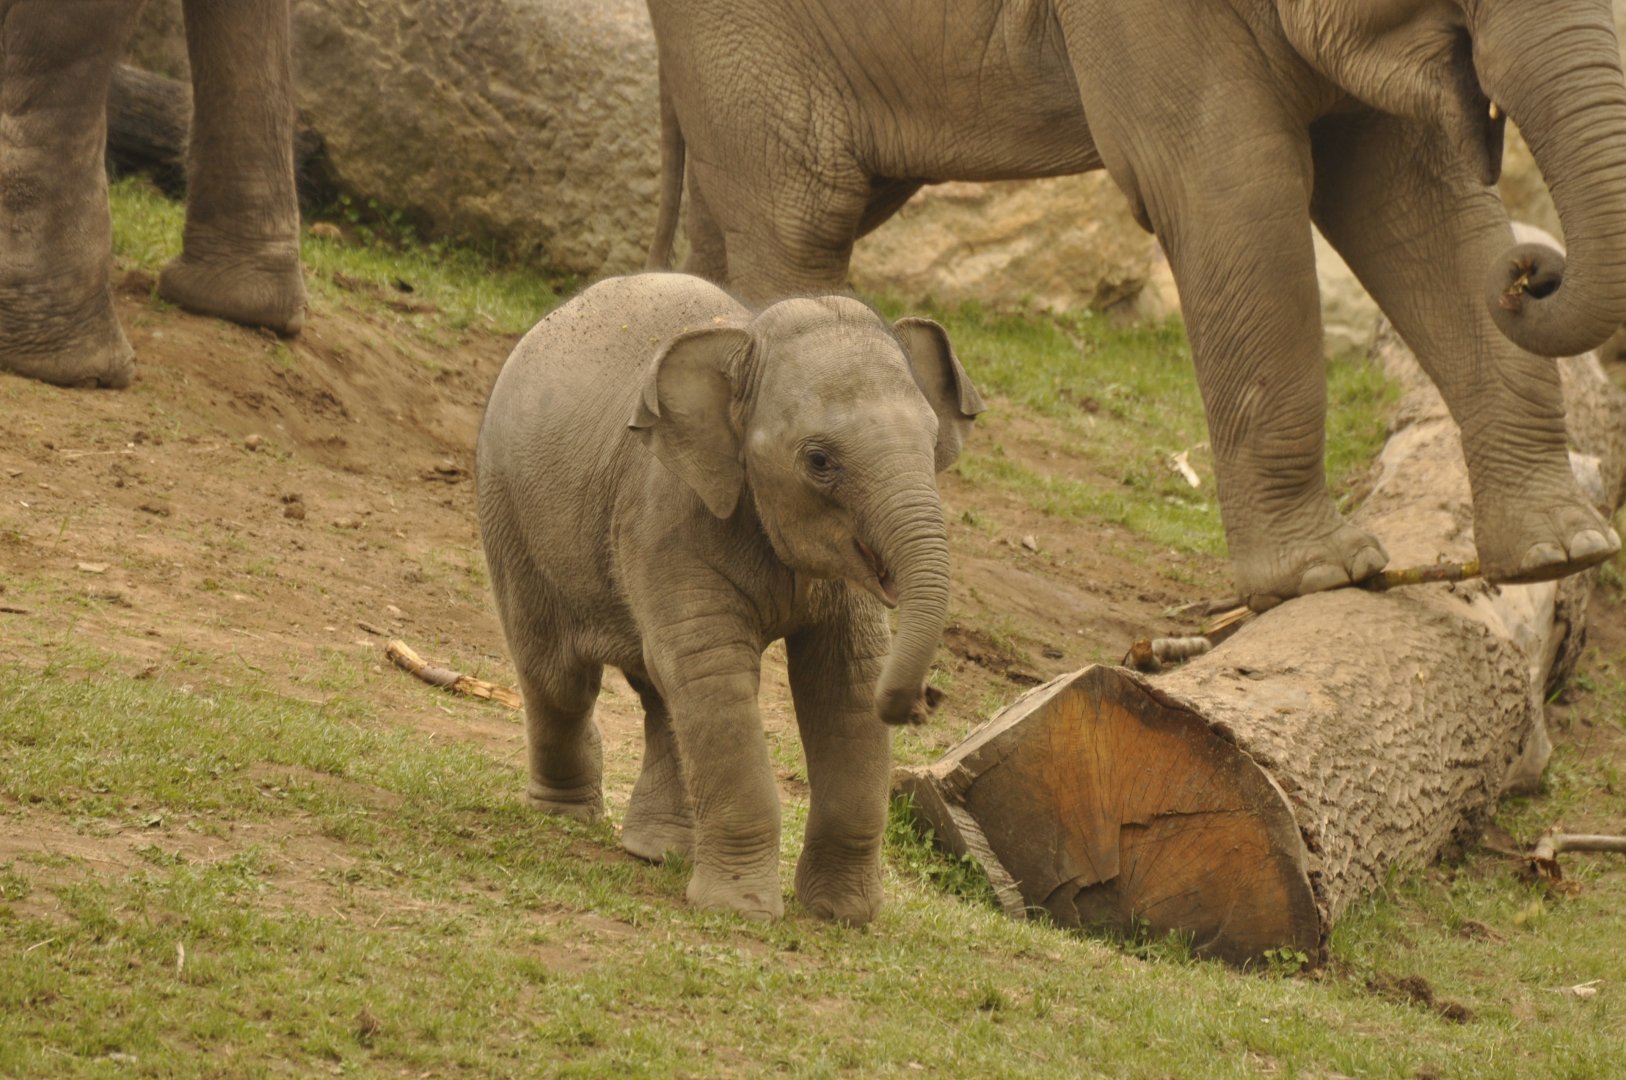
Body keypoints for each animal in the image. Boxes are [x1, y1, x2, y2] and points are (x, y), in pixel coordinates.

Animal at [476, 272, 982, 924]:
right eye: (819, 461)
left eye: (934, 442)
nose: (920, 704)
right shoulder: (666, 513)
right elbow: (714, 667)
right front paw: (740, 911)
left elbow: (844, 677)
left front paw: (842, 918)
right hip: (508, 509)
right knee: (562, 678)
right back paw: (567, 816)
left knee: (657, 689)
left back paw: (658, 851)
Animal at [643, 0, 1626, 610]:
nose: (1531, 269)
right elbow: (1234, 188)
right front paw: (1323, 579)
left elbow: (1411, 191)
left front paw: (1563, 553)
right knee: (802, 216)